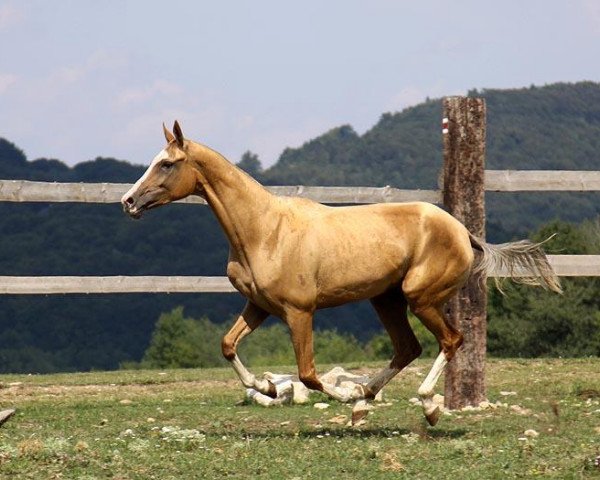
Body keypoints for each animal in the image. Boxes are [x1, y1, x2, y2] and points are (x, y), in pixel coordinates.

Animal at [122, 120, 564, 424]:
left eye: (167, 164)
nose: (128, 201)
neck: (264, 230)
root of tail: (462, 230)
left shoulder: (300, 312)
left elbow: (309, 374)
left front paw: (341, 396)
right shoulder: (259, 306)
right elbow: (228, 344)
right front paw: (267, 387)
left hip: (420, 299)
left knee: (450, 341)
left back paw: (422, 406)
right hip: (386, 301)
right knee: (408, 348)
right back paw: (365, 400)